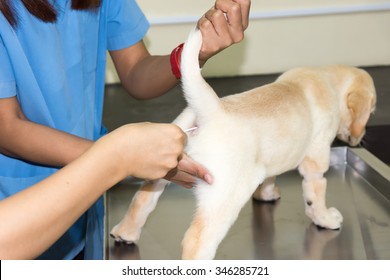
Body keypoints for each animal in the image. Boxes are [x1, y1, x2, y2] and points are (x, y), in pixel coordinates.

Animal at [109, 27, 374, 260]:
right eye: (371, 112)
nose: (361, 137)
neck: (328, 80)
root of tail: (212, 111)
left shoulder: (269, 158)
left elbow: (269, 176)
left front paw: (267, 194)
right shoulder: (316, 159)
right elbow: (316, 193)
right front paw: (325, 218)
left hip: (162, 164)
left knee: (142, 200)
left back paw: (125, 232)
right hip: (225, 195)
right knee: (196, 241)